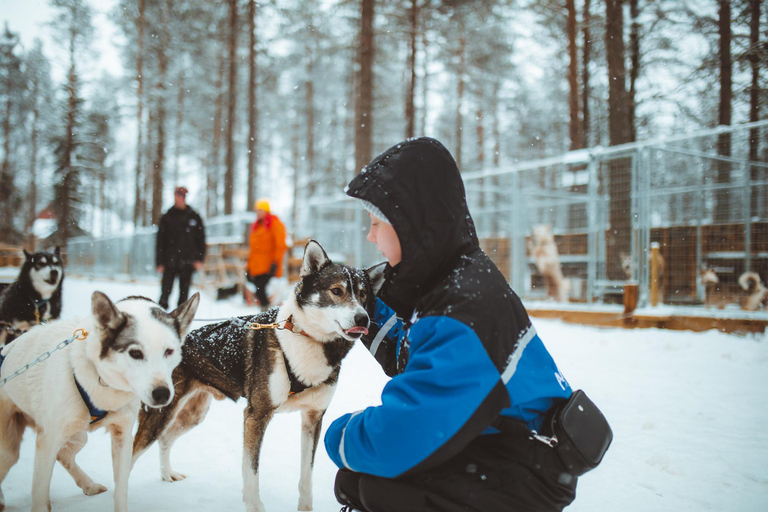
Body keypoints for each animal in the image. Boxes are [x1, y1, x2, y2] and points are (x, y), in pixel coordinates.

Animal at [0, 290, 201, 510]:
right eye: (135, 353)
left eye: (169, 351)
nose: (162, 393)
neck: (102, 385)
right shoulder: (48, 441)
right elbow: (40, 496)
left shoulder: (122, 436)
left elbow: (121, 489)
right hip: (11, 448)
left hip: (79, 435)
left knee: (63, 455)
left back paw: (88, 485)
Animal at [133, 242, 388, 512]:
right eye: (337, 291)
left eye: (363, 294)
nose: (363, 318)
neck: (307, 338)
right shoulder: (256, 415)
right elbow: (251, 471)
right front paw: (255, 505)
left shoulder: (313, 418)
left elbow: (306, 475)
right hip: (160, 415)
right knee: (131, 455)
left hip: (192, 415)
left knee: (165, 439)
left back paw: (166, 473)